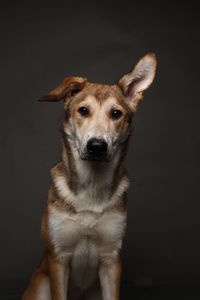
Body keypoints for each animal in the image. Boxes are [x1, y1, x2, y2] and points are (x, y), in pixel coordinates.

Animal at [23, 54, 156, 300]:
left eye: (116, 114)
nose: (97, 146)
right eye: (83, 110)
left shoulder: (111, 260)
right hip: (41, 285)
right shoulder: (58, 259)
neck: (91, 186)